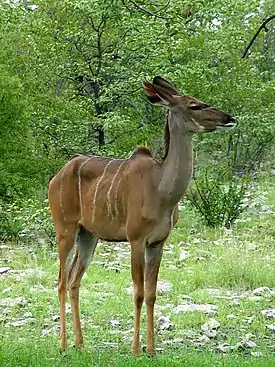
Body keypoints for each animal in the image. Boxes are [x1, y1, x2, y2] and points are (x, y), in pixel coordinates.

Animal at [48, 77, 236, 356]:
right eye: (194, 105)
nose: (229, 118)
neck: (162, 189)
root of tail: (56, 177)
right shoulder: (136, 239)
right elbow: (137, 292)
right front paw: (137, 349)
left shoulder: (157, 243)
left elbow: (151, 293)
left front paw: (153, 349)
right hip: (65, 229)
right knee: (61, 280)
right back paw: (62, 345)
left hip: (89, 235)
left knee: (73, 280)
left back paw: (80, 344)